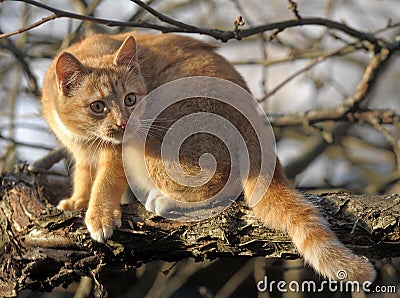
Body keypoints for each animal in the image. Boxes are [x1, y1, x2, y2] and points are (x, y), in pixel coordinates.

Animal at [41, 32, 376, 282]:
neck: (87, 139)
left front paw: (98, 213)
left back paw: (164, 200)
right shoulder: (82, 153)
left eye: (131, 99)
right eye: (98, 106)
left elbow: (106, 180)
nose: (125, 123)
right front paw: (78, 201)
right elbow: (85, 175)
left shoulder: (118, 152)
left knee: (218, 184)